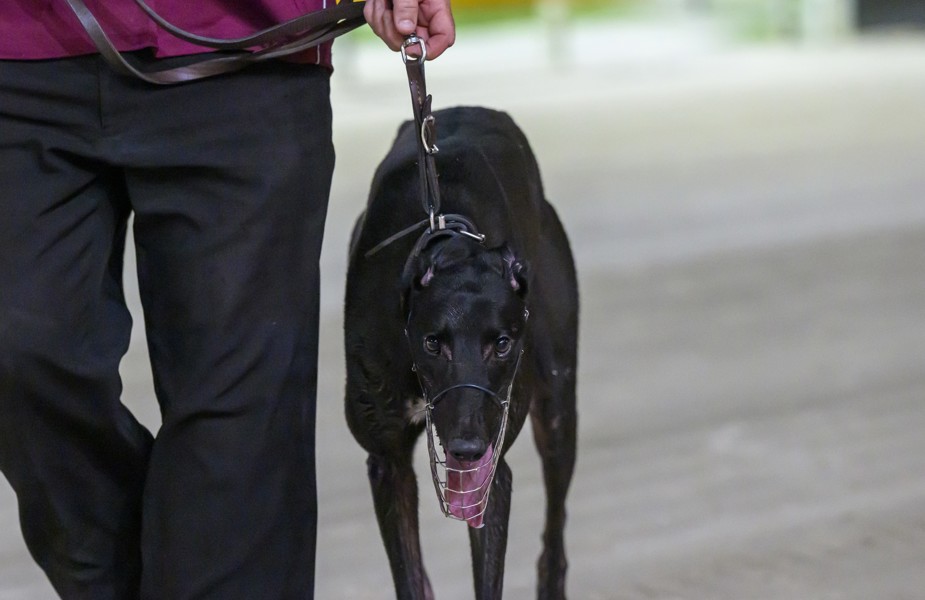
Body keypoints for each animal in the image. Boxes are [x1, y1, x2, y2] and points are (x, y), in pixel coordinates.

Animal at [344, 106, 578, 599]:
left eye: (502, 343)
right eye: (433, 342)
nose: (467, 448)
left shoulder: (492, 473)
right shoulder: (387, 463)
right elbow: (410, 579)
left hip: (557, 405)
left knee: (555, 530)